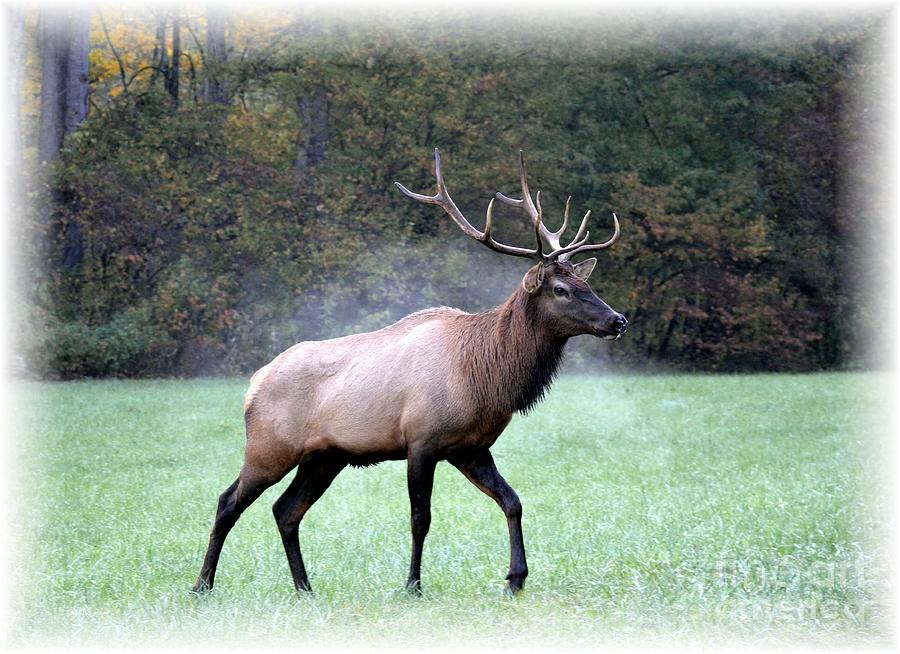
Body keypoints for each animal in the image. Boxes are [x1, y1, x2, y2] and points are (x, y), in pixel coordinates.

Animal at [190, 150, 624, 600]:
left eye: (586, 284)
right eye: (561, 289)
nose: (618, 320)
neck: (486, 377)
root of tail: (253, 383)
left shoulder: (471, 447)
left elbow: (513, 501)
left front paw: (516, 578)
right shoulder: (421, 440)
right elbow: (421, 518)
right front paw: (413, 584)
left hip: (324, 457)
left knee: (286, 510)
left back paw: (305, 588)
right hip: (269, 447)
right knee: (228, 502)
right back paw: (202, 585)